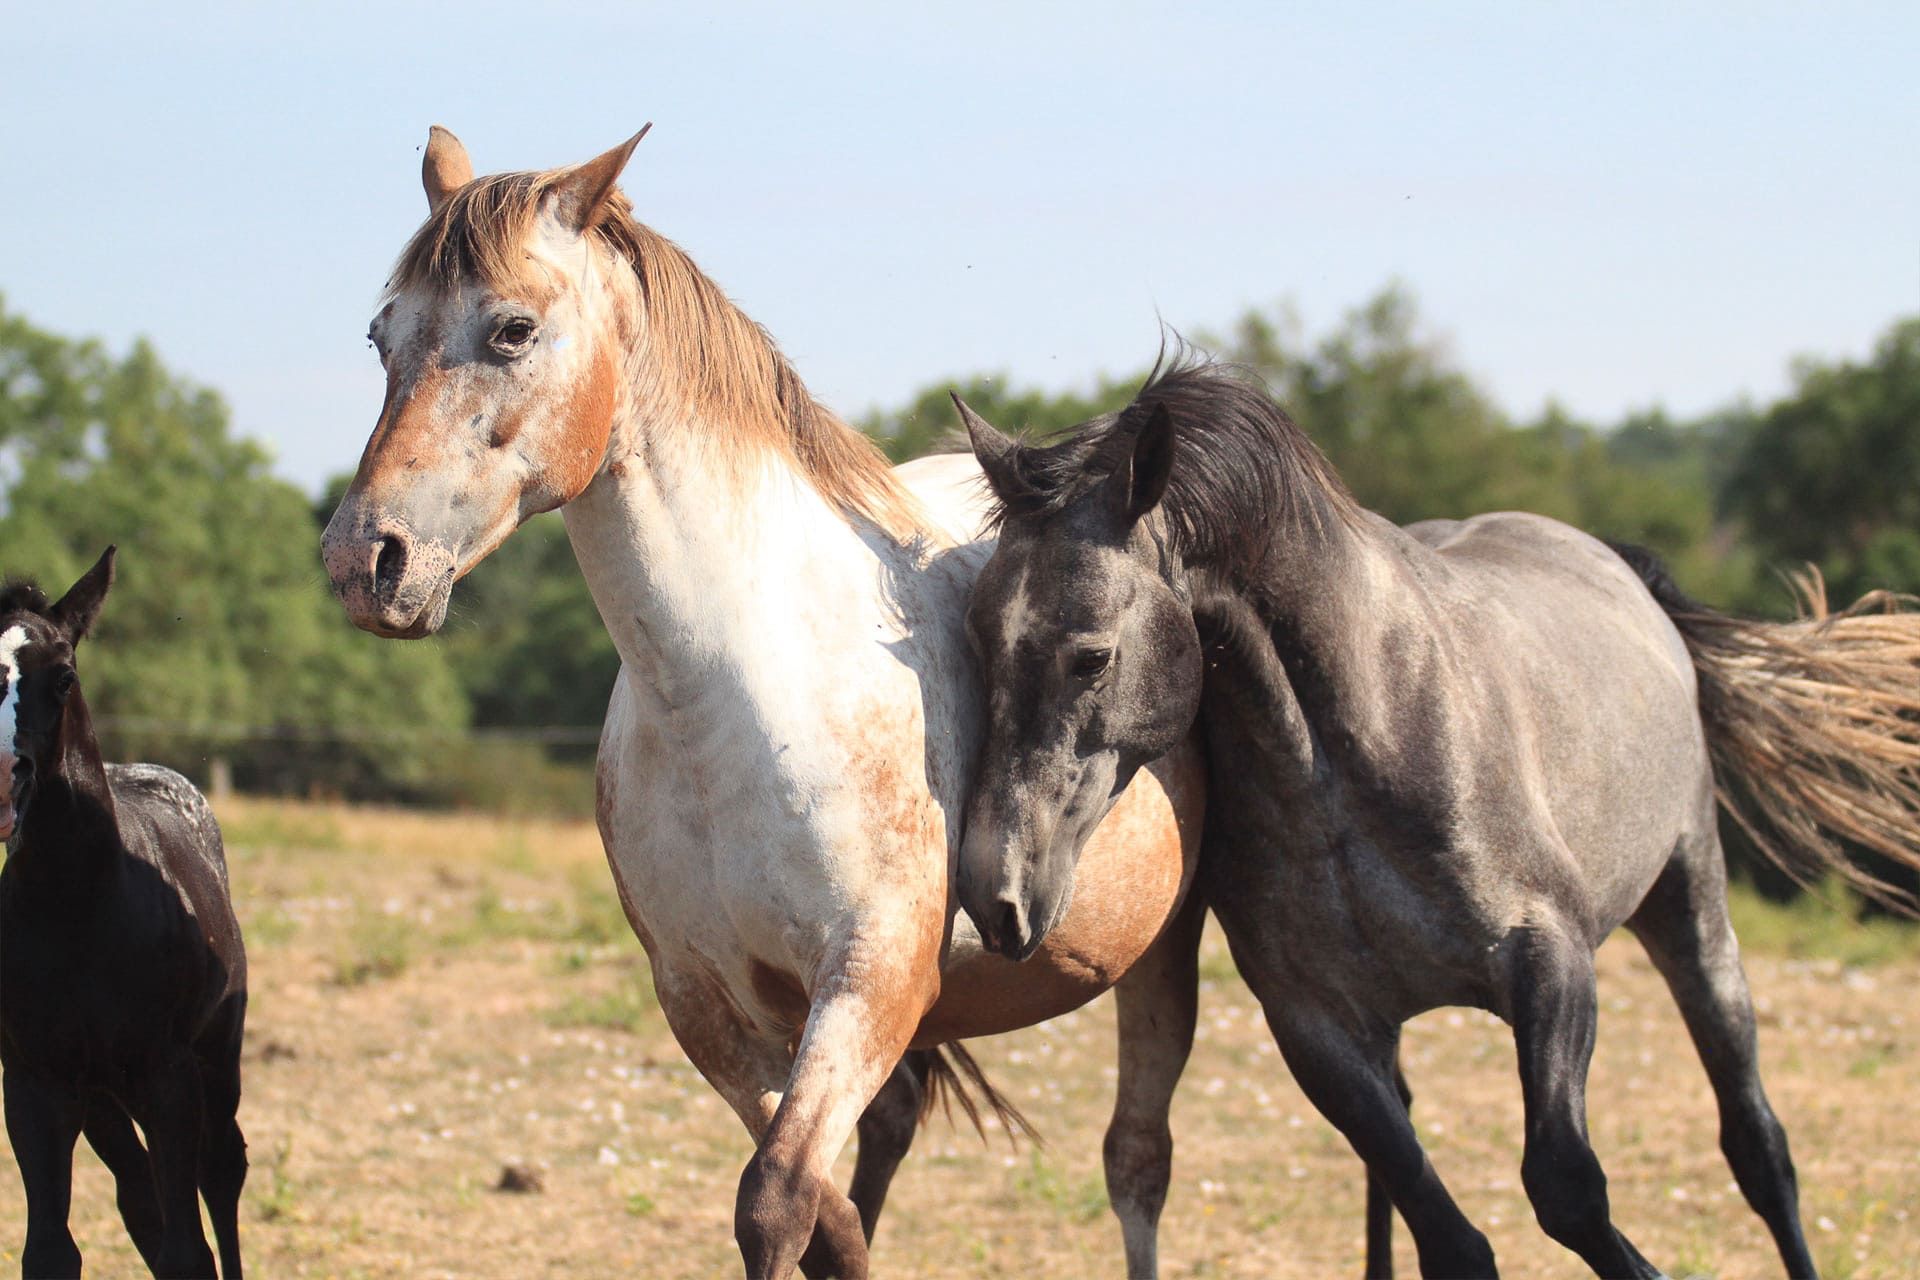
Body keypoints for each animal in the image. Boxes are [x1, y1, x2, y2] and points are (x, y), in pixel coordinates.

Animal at [0, 552, 251, 1280]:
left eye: (64, 675)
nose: (4, 781)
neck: (77, 908)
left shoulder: (168, 1077)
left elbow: (188, 1249)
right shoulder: (35, 1084)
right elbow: (51, 1250)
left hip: (212, 1060)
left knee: (220, 1173)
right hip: (102, 1098)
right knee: (139, 1193)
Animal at [320, 122, 1221, 1280]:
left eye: (512, 328)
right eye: (382, 335)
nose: (364, 560)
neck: (736, 697)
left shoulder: (869, 979)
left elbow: (778, 1199)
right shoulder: (706, 1002)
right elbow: (824, 1213)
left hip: (1161, 953)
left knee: (1138, 1154)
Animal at [948, 355, 1920, 1274]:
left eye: (1092, 656)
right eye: (975, 642)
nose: (996, 895)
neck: (1351, 752)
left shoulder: (1550, 962)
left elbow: (1567, 1188)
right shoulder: (1320, 1028)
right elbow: (1450, 1237)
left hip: (1691, 908)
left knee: (1760, 1146)